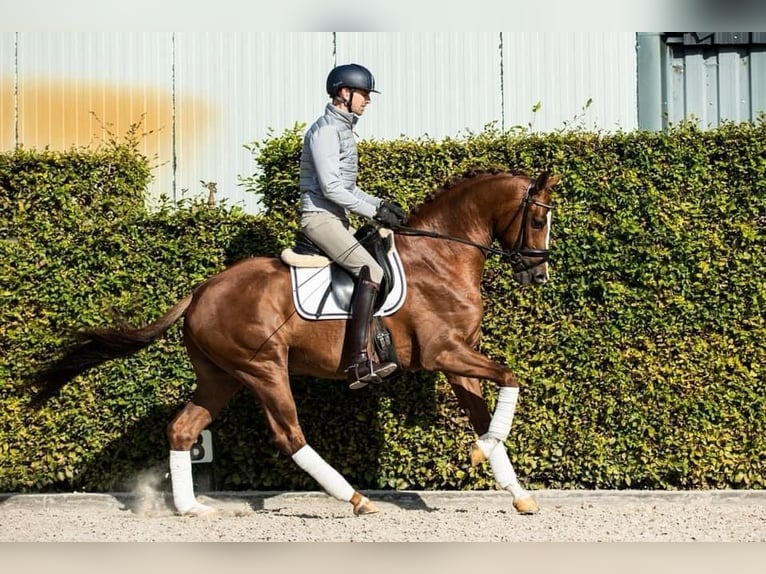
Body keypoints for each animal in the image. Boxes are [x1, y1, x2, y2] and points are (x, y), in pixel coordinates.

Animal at [31, 169, 560, 520]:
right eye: (538, 221)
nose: (538, 275)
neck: (441, 255)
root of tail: (201, 291)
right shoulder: (443, 354)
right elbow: (513, 376)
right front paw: (482, 453)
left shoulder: (457, 359)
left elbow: (486, 413)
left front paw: (512, 486)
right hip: (264, 369)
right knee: (291, 436)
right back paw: (355, 499)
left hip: (221, 377)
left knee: (182, 430)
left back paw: (192, 509)